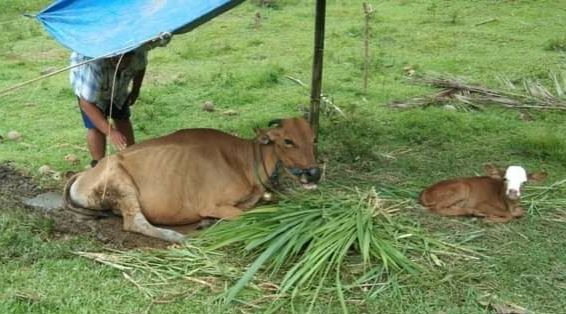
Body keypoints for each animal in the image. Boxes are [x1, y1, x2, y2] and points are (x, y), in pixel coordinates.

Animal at [64, 116, 322, 242]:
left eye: (313, 138)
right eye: (288, 141)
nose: (314, 172)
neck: (244, 162)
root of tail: (85, 173)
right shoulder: (212, 204)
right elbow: (249, 216)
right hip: (120, 181)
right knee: (135, 222)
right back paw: (177, 237)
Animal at [420, 163, 548, 222]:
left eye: (524, 182)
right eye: (505, 179)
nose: (513, 192)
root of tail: (425, 191)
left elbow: (521, 212)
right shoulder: (482, 204)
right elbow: (508, 215)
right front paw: (490, 219)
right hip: (462, 188)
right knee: (437, 208)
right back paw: (475, 212)